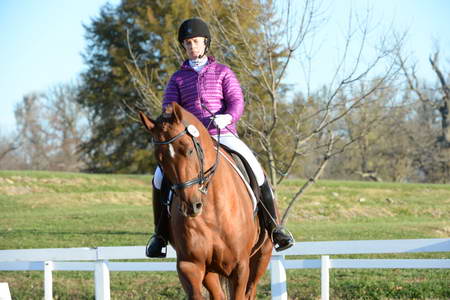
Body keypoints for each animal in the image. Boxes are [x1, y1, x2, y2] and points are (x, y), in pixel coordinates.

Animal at [140, 102, 274, 298]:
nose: (191, 206)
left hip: (261, 257)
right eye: (159, 159)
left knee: (250, 291)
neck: (213, 210)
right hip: (211, 271)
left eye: (189, 150)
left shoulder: (240, 267)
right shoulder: (190, 265)